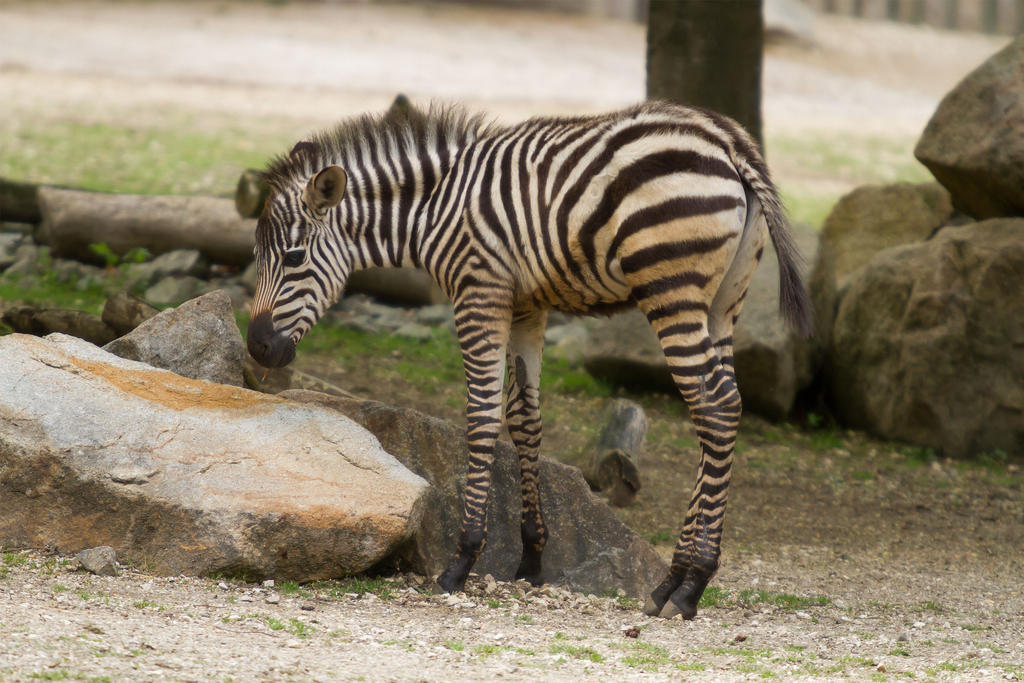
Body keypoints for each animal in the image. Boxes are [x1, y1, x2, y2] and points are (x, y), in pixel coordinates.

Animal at [246, 100, 811, 620]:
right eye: (256, 256)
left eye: (293, 257)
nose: (257, 348)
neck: (434, 208)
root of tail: (727, 139)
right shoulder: (526, 306)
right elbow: (524, 420)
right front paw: (532, 558)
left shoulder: (479, 292)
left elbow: (481, 416)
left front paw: (463, 559)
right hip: (723, 301)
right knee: (726, 407)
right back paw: (682, 578)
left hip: (671, 288)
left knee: (712, 408)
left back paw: (687, 582)